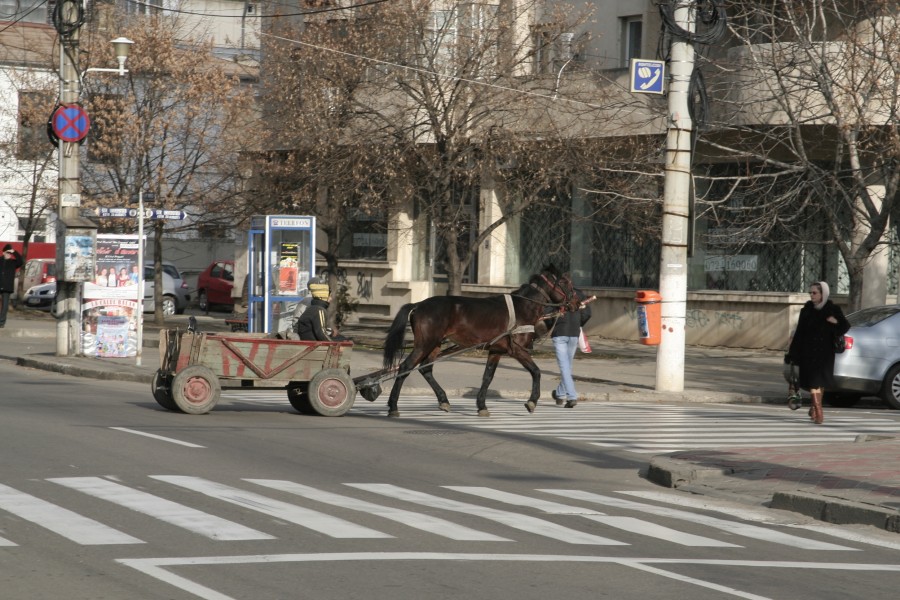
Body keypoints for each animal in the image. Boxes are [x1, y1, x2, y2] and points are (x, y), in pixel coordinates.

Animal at [378, 268, 576, 418]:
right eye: (565, 282)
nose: (576, 302)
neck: (522, 307)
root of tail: (418, 304)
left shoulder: (496, 351)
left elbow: (487, 377)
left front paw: (482, 405)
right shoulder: (517, 350)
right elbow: (536, 372)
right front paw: (532, 401)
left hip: (434, 345)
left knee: (426, 369)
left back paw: (443, 400)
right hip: (425, 344)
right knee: (405, 368)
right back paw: (393, 406)